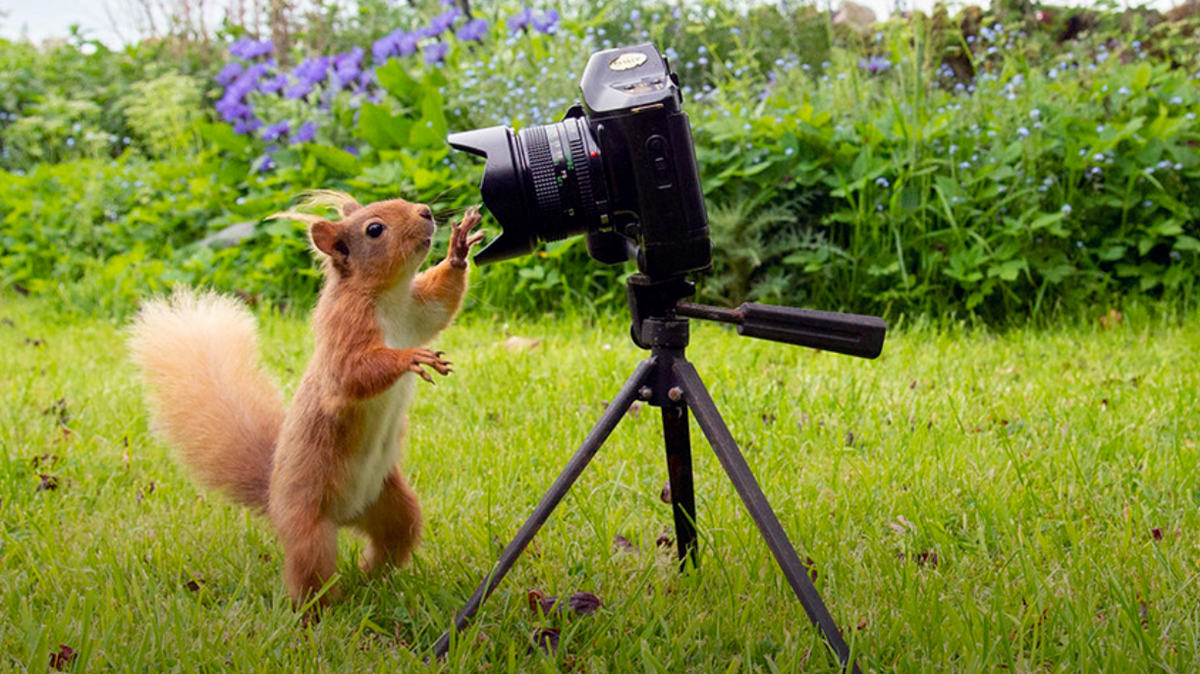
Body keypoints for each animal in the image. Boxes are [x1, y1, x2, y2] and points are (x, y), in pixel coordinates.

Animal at [130, 189, 482, 604]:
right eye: (374, 229)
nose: (426, 212)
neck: (387, 298)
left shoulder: (416, 314)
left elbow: (440, 306)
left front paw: (458, 249)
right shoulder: (343, 332)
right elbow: (353, 373)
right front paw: (408, 357)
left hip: (391, 504)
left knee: (394, 537)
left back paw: (371, 578)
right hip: (308, 527)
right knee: (310, 573)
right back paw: (322, 610)